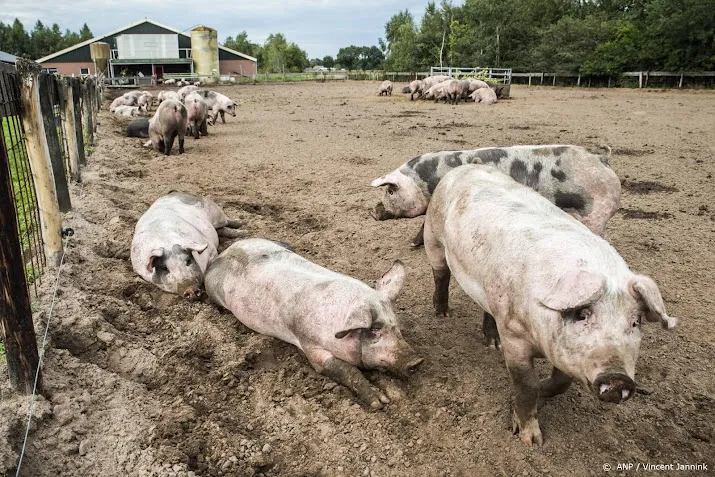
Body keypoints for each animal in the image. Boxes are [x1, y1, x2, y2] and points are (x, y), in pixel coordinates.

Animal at [204, 240, 422, 408]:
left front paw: (393, 397)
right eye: (375, 329)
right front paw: (379, 402)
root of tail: (225, 252)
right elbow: (345, 369)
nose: (417, 361)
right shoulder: (310, 346)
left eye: (396, 325)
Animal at [372, 145, 624, 245]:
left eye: (390, 190)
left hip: (596, 212)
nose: (374, 211)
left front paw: (412, 243)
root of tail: (603, 159)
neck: (422, 182)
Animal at [428, 165, 680, 446]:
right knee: (441, 274)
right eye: (582, 314)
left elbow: (561, 382)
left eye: (635, 322)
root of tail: (466, 167)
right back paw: (442, 313)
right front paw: (532, 440)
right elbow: (526, 386)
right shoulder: (513, 336)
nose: (617, 379)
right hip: (433, 234)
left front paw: (544, 394)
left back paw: (492, 345)